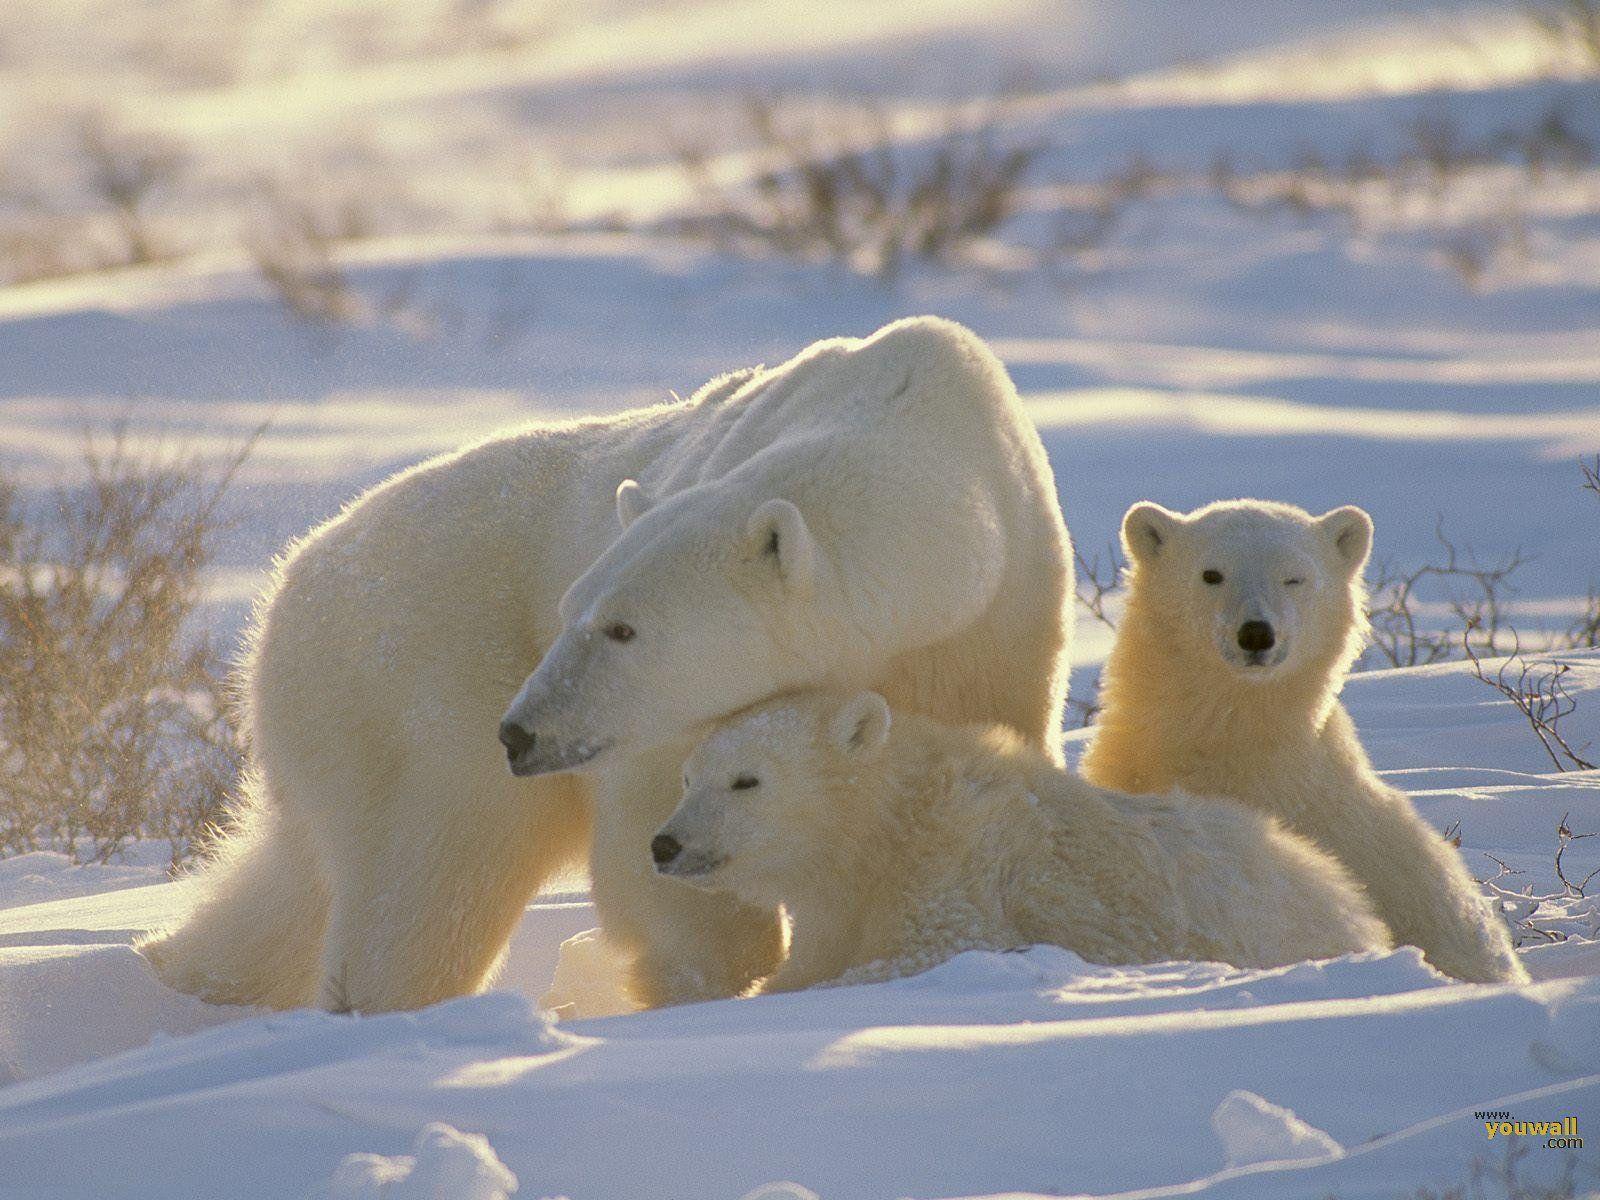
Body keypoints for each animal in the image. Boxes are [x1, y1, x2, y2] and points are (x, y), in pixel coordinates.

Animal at [137, 316, 1075, 1013]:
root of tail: (286, 583)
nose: (520, 732)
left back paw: (179, 970)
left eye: (621, 628)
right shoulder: (661, 727)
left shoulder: (997, 628)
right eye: (572, 611)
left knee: (296, 876)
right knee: (436, 869)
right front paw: (710, 977)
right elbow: (656, 834)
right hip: (413, 678)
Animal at [650, 689, 1391, 993]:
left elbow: (931, 950)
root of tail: (1352, 900)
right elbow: (809, 959)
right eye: (687, 776)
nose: (665, 844)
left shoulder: (957, 865)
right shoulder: (836, 903)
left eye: (746, 780)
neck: (890, 823)